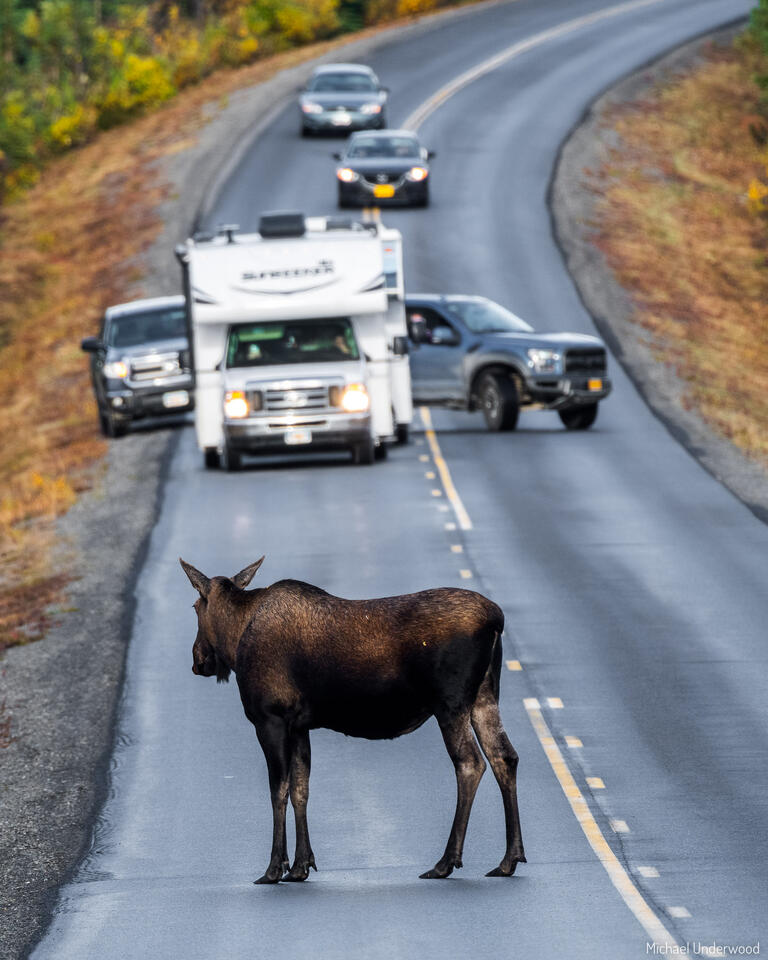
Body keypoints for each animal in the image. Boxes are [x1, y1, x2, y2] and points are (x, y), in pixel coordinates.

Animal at [180, 556, 525, 884]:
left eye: (195, 606)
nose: (198, 659)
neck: (236, 638)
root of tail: (496, 619)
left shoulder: (270, 718)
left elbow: (278, 790)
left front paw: (274, 868)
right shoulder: (299, 726)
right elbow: (301, 789)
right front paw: (301, 865)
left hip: (450, 704)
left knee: (470, 763)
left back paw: (445, 862)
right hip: (484, 696)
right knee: (504, 756)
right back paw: (508, 859)